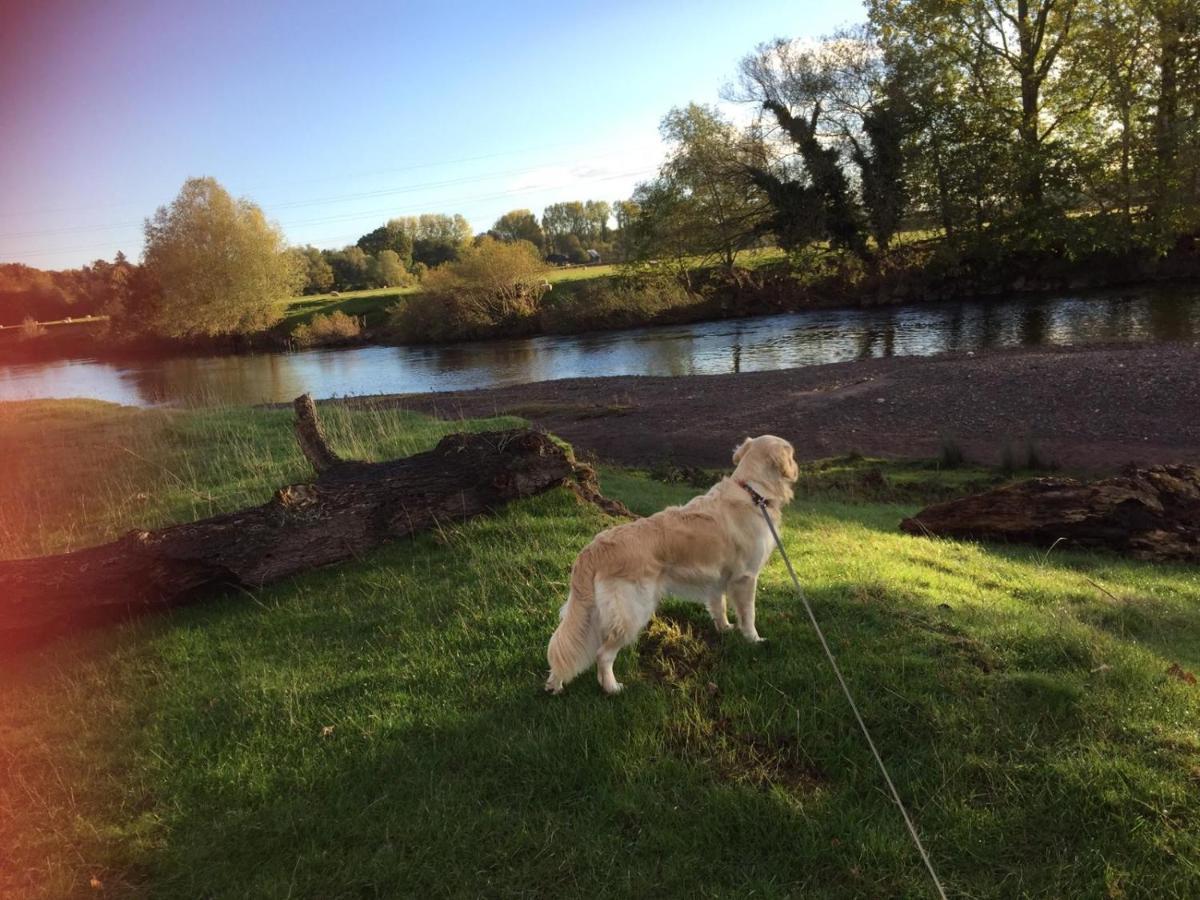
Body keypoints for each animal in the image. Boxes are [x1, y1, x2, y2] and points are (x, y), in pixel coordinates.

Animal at [547, 436, 796, 696]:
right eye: (793, 454)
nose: (796, 467)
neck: (753, 491)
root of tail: (593, 548)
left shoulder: (717, 578)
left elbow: (719, 606)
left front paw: (725, 628)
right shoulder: (746, 577)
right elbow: (749, 615)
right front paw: (753, 639)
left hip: (589, 613)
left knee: (562, 646)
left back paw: (555, 684)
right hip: (632, 612)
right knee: (603, 655)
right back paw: (612, 687)